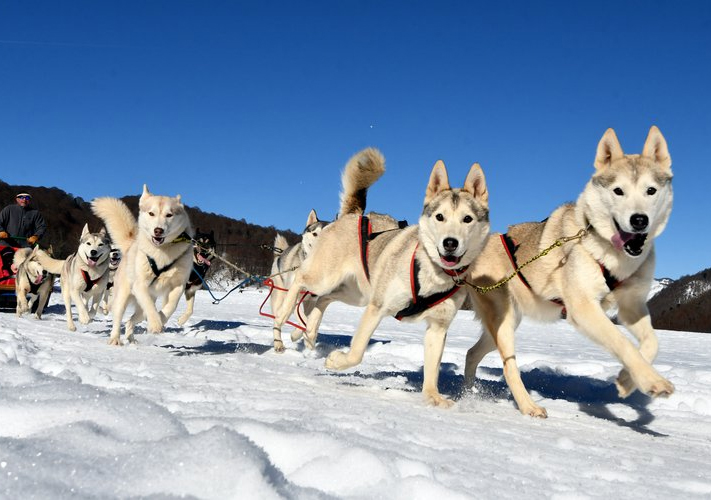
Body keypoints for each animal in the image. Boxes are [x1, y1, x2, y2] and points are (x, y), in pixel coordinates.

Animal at [94, 186, 197, 346]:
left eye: (169, 215)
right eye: (151, 213)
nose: (158, 230)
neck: (162, 253)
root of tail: (129, 246)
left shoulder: (178, 285)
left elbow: (171, 306)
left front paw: (162, 319)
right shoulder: (140, 285)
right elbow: (150, 306)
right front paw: (155, 324)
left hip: (140, 310)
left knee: (130, 321)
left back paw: (131, 338)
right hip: (122, 297)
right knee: (119, 318)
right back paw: (115, 339)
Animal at [270, 207, 330, 352]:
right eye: (315, 234)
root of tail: (281, 254)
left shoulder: (312, 301)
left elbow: (308, 319)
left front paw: (304, 338)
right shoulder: (295, 297)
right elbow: (303, 319)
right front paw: (302, 336)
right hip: (280, 297)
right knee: (277, 320)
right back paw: (278, 343)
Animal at [464, 126, 676, 418]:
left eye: (651, 190)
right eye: (618, 191)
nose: (639, 220)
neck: (611, 254)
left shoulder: (631, 306)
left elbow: (652, 343)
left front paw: (626, 380)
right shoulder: (584, 309)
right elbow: (621, 342)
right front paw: (652, 380)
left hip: (503, 324)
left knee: (471, 354)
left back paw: (467, 393)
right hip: (503, 322)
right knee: (509, 366)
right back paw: (528, 405)